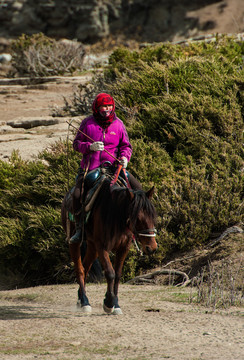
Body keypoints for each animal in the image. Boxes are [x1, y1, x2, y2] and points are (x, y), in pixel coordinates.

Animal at [60, 177, 156, 316]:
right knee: (80, 270)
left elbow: (118, 275)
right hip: (74, 243)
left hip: (92, 246)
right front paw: (108, 303)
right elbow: (110, 273)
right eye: (137, 218)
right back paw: (84, 302)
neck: (115, 214)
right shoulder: (102, 247)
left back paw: (80, 298)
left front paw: (115, 304)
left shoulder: (123, 248)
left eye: (153, 216)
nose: (152, 247)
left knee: (86, 267)